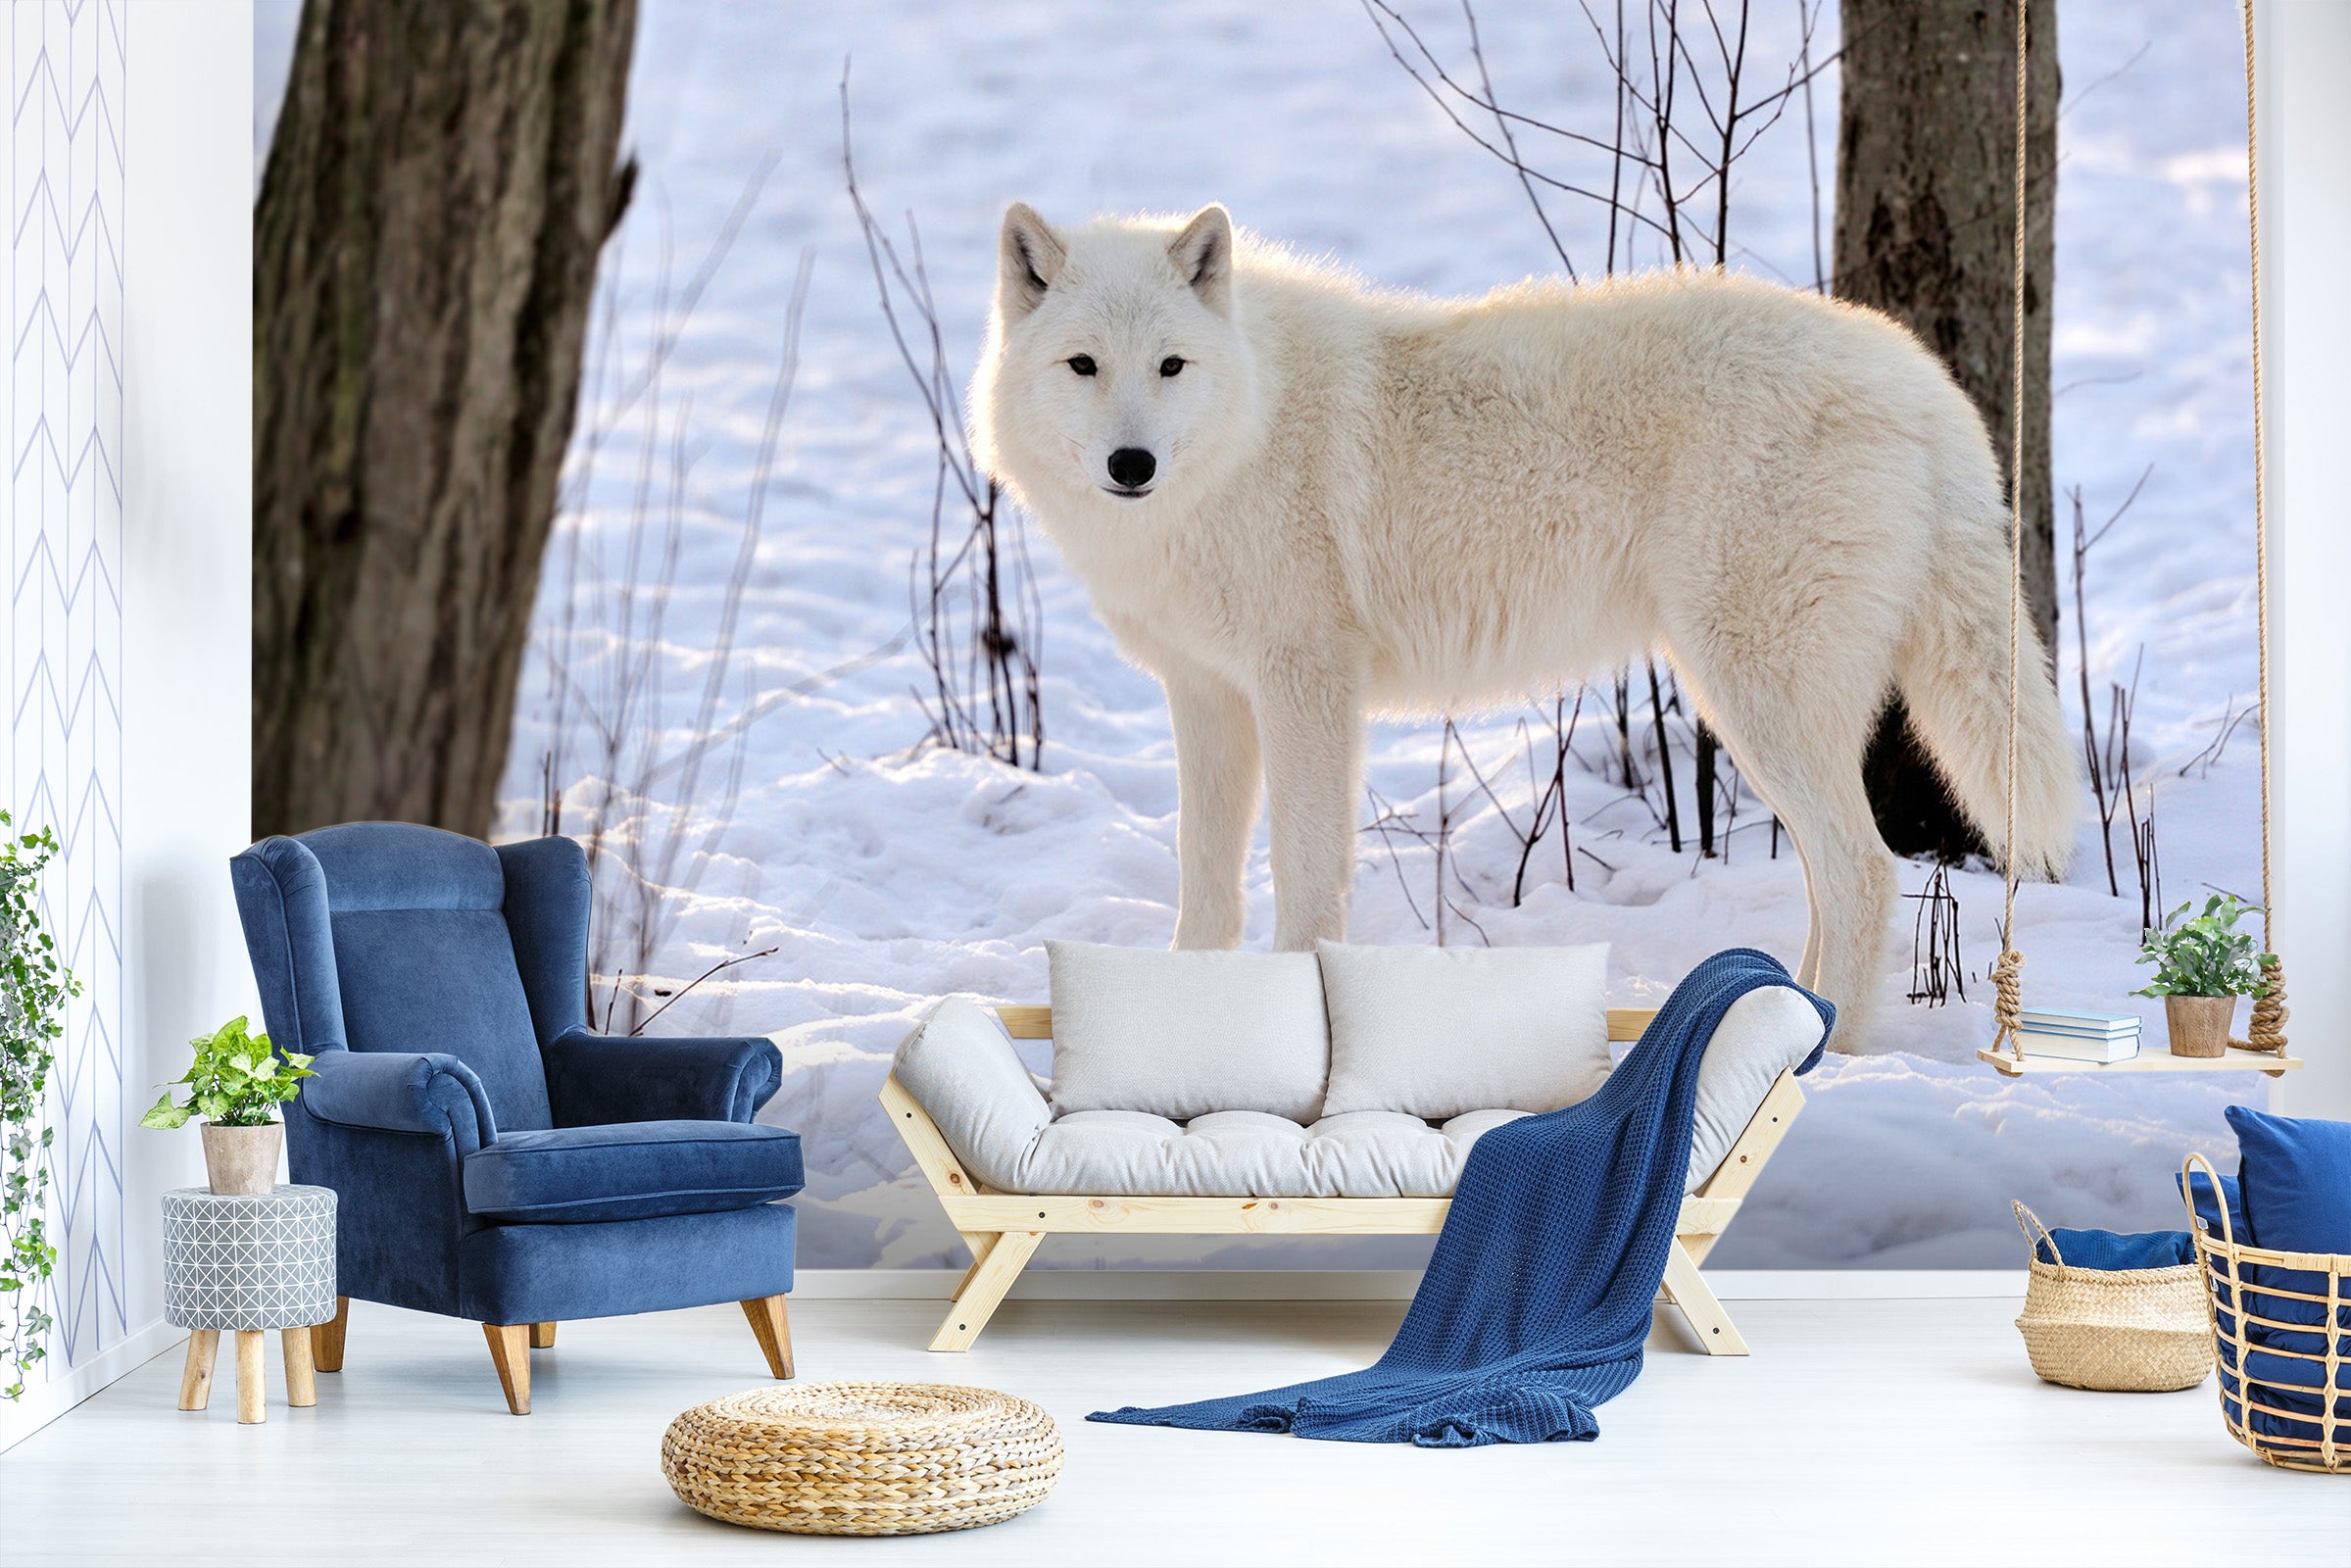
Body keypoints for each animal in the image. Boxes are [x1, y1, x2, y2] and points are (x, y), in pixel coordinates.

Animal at [971, 203, 2078, 1046]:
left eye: (1169, 366)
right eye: (1082, 366)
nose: (1131, 464)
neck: (1248, 427)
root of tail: (1922, 384)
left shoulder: (1305, 684)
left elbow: (1305, 875)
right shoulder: (1205, 695)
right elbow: (1204, 882)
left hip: (1750, 696)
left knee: (1863, 871)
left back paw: (1824, 1052)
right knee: (1841, 877)